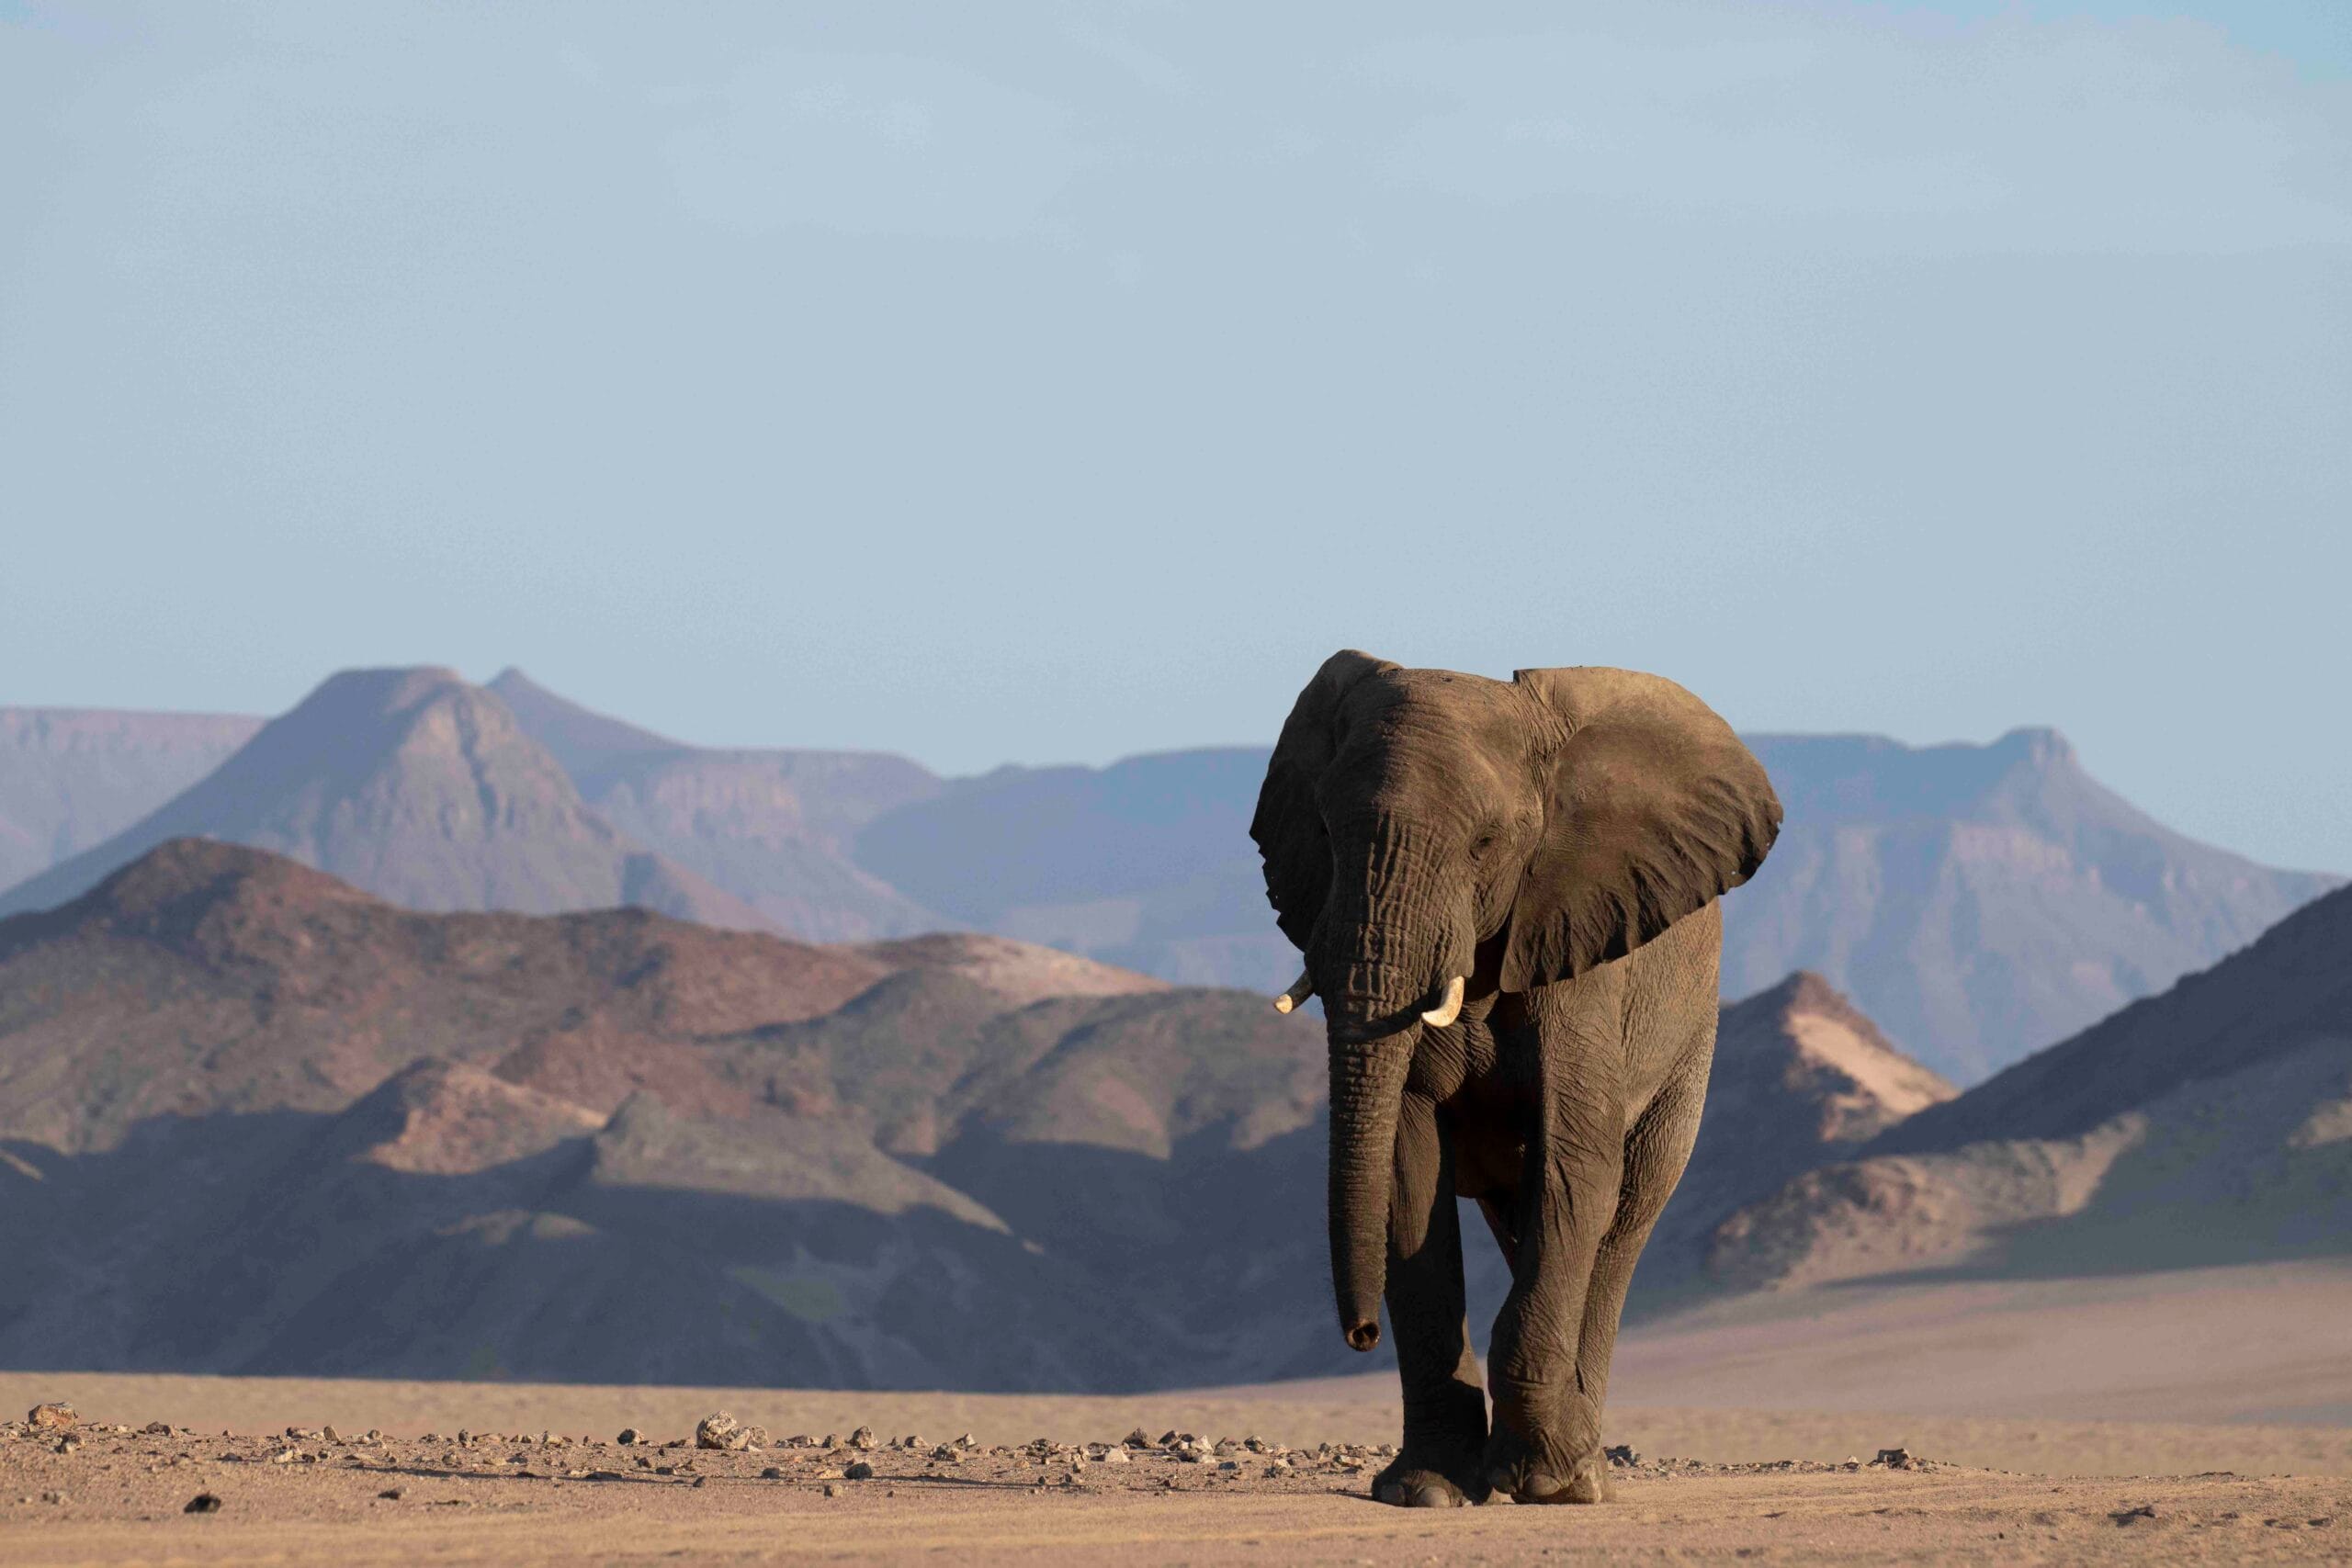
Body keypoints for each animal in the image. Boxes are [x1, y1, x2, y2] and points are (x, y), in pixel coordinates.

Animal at [1250, 651, 1780, 1507]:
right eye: (1325, 831)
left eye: (1485, 843)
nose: (1360, 1333)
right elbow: (1406, 1169)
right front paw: (1425, 1489)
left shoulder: (1582, 953)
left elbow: (1574, 1165)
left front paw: (1543, 1483)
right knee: (1519, 1219)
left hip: (1689, 1048)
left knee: (1621, 1220)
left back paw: (1581, 1472)